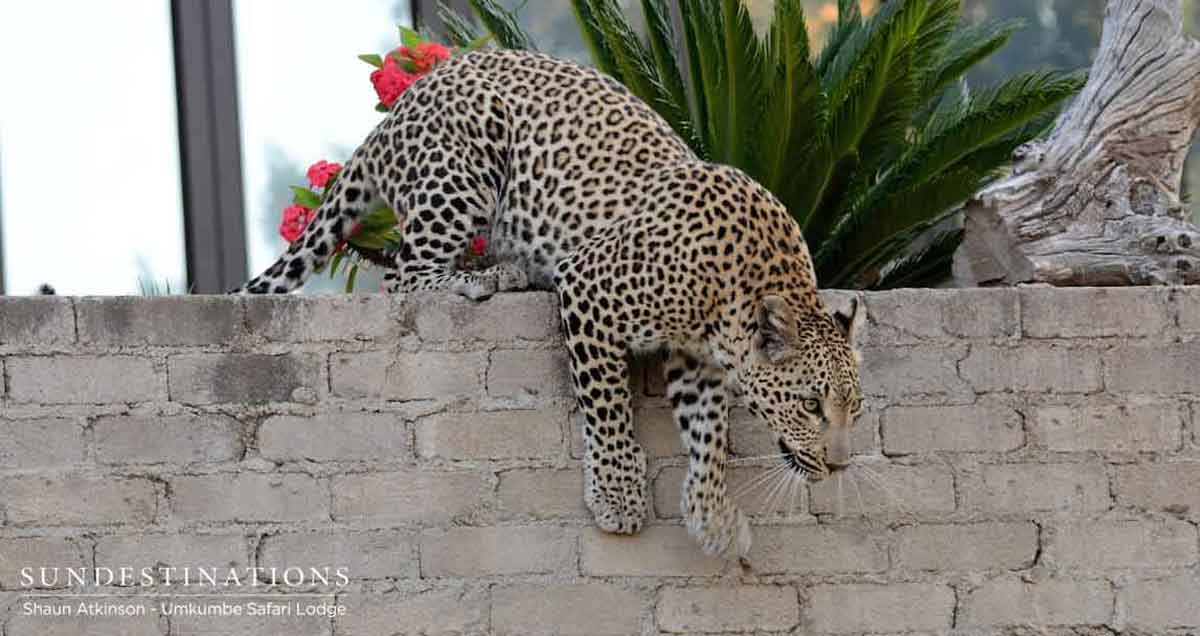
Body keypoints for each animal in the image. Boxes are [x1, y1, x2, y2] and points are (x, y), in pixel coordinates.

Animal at [238, 48, 868, 554]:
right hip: (466, 168)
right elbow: (608, 404)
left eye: (855, 410)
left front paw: (712, 515)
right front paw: (618, 495)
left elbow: (707, 433)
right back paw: (492, 276)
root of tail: (400, 110)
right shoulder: (591, 291)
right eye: (811, 406)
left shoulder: (696, 360)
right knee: (406, 275)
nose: (839, 465)